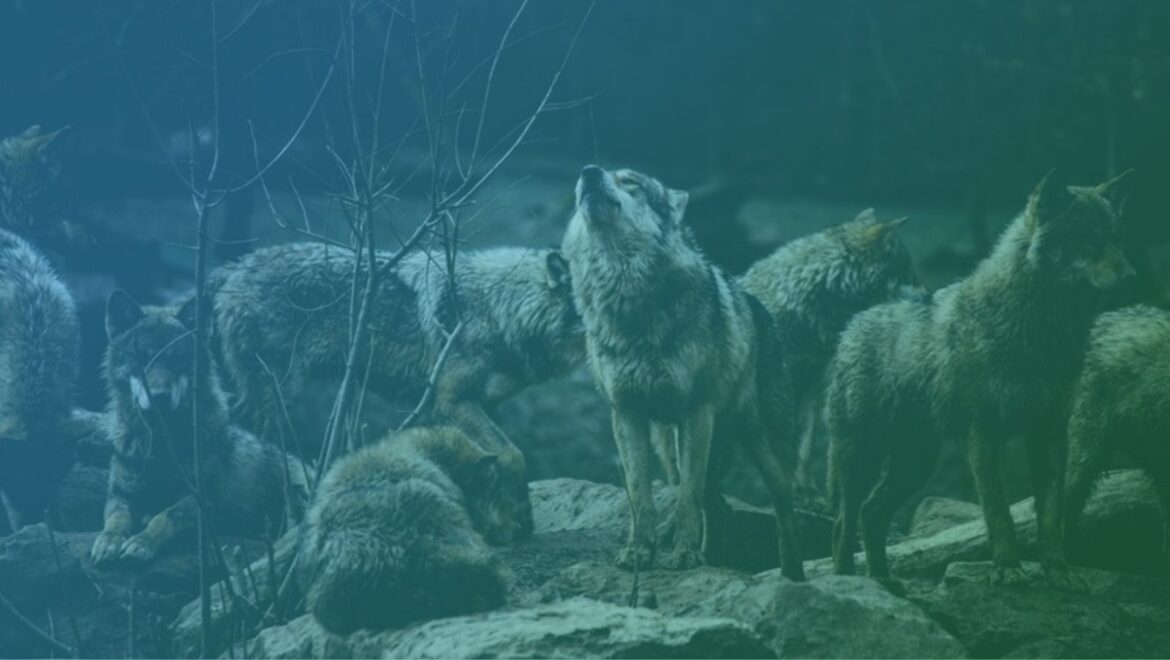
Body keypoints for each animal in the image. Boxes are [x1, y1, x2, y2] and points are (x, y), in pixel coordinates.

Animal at [90, 291, 312, 565]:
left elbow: (164, 517)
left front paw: (142, 542)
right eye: (142, 359)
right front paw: (109, 540)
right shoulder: (120, 494)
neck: (161, 448)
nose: (160, 397)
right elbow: (116, 518)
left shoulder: (202, 499)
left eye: (177, 359)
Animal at [209, 243, 584, 539]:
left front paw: (506, 521)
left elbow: (492, 464)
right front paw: (519, 520)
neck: (501, 309)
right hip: (279, 398)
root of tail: (236, 267)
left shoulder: (483, 406)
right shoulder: (452, 401)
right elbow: (513, 454)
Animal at [561, 164, 804, 579]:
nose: (589, 171)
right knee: (718, 505)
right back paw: (714, 560)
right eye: (588, 177)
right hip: (672, 448)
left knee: (782, 508)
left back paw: (793, 576)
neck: (627, 298)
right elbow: (639, 496)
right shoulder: (626, 414)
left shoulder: (695, 412)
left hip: (760, 448)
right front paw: (639, 553)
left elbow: (686, 499)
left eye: (630, 181)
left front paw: (685, 556)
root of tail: (760, 309)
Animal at [740, 209, 917, 496]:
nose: (929, 293)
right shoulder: (781, 387)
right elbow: (783, 449)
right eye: (909, 273)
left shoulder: (813, 384)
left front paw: (807, 488)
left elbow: (804, 446)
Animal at [826, 170, 1134, 588]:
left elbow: (1051, 516)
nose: (1131, 276)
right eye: (1088, 237)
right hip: (861, 459)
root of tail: (852, 326)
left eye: (1116, 238)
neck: (1040, 333)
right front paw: (1007, 570)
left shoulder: (1049, 432)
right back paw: (848, 580)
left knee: (871, 513)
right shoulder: (984, 433)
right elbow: (998, 512)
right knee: (843, 520)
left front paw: (1058, 571)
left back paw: (883, 582)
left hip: (915, 465)